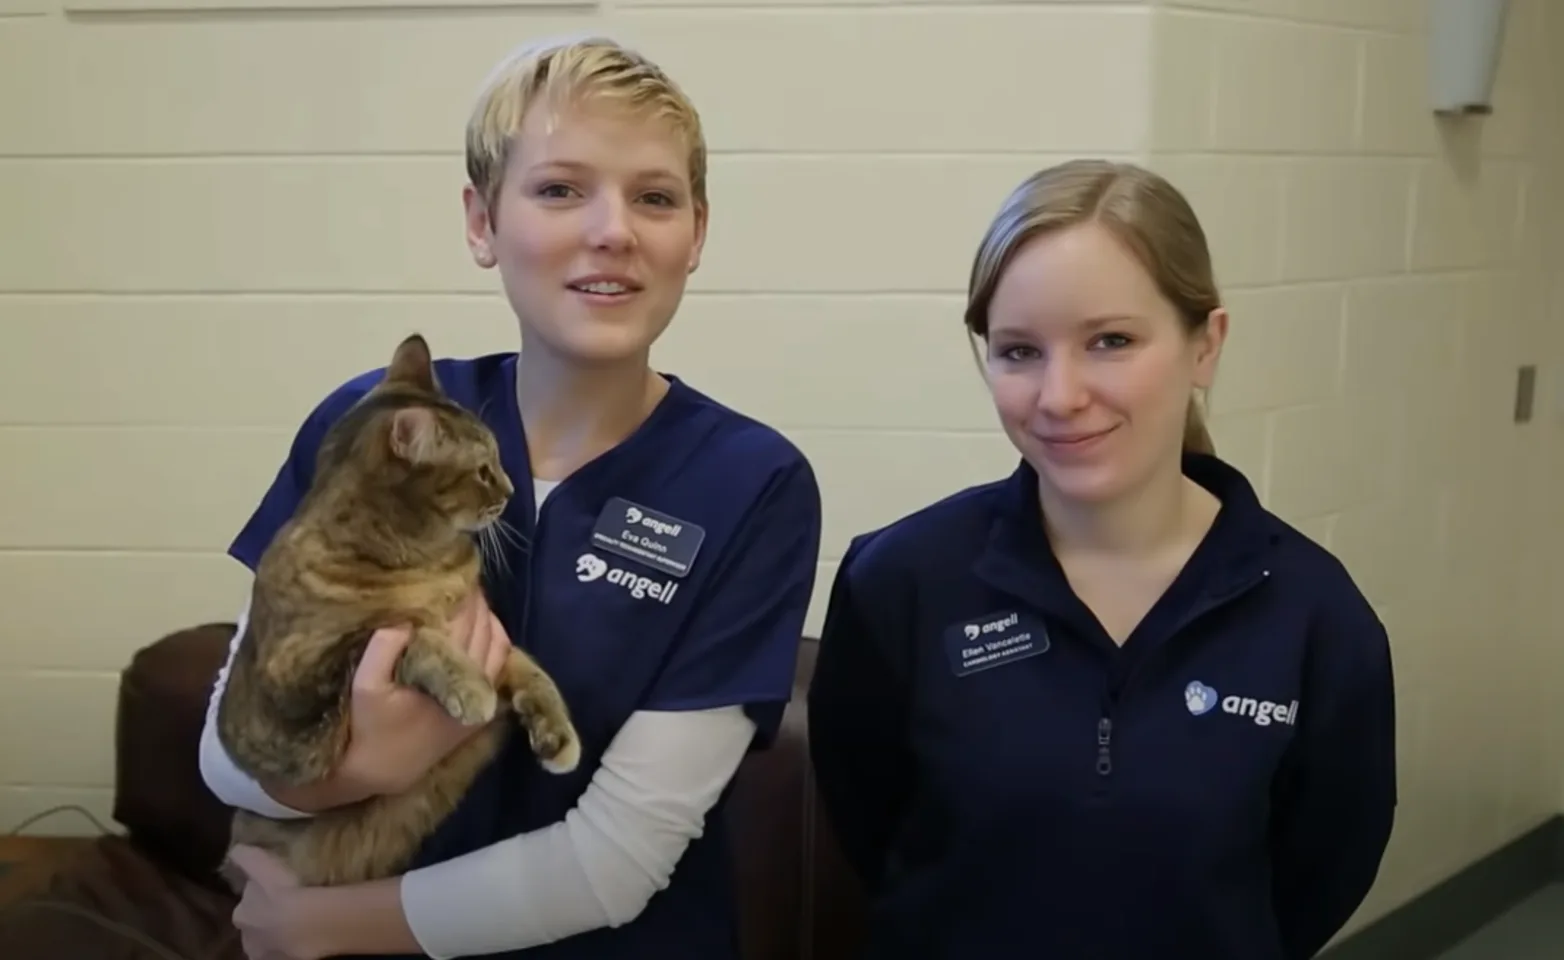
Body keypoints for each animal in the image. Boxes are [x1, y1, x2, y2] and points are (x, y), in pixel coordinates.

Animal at [208, 333, 575, 888]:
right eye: (483, 469)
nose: (511, 490)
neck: (430, 561)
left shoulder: (494, 635)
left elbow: (533, 671)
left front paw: (557, 735)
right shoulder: (304, 681)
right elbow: (410, 632)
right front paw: (469, 686)